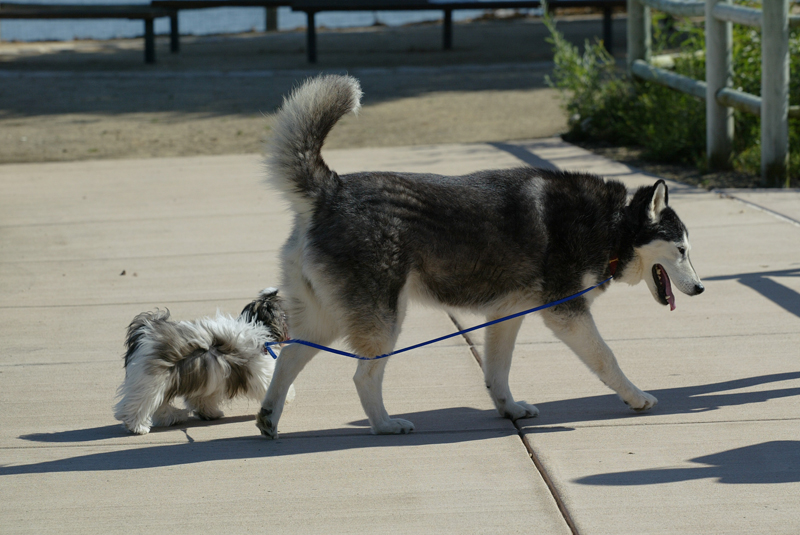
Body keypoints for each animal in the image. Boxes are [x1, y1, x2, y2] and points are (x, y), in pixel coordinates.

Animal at [114, 288, 294, 435]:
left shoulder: (210, 379)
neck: (257, 325)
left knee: (159, 404)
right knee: (139, 404)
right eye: (285, 314)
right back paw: (137, 427)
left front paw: (209, 413)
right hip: (151, 380)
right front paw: (287, 396)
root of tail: (144, 329)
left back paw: (173, 416)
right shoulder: (259, 371)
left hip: (160, 381)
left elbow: (202, 399)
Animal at [255, 74, 704, 439]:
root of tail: (331, 190)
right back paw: (384, 424)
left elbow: (498, 371)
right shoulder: (566, 313)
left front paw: (509, 408)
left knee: (288, 356)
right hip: (384, 322)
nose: (700, 288)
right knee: (363, 376)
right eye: (682, 250)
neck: (613, 225)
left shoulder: (506, 314)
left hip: (327, 317)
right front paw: (636, 397)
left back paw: (269, 418)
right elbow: (607, 359)